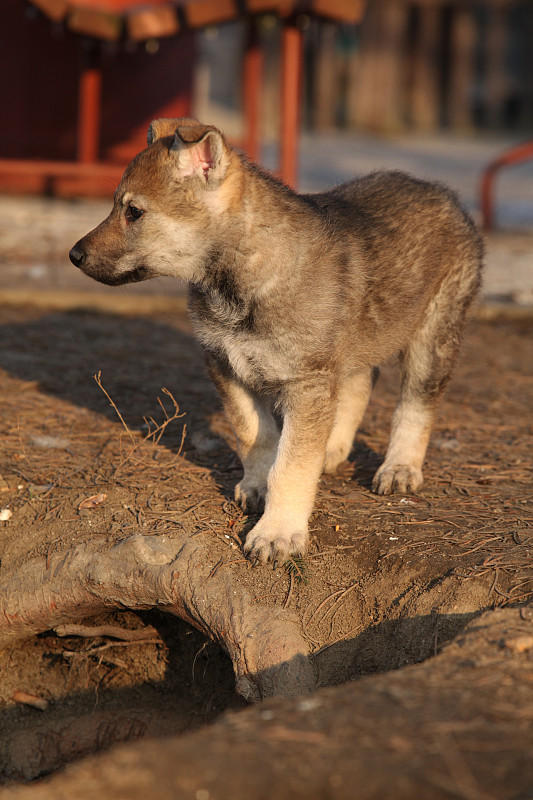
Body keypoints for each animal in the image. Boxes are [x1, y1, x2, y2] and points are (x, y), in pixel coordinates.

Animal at [69, 120, 482, 568]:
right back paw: (333, 448)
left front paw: (278, 532)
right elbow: (256, 435)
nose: (74, 255)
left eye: (134, 212)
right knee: (360, 384)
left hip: (433, 335)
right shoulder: (226, 365)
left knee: (415, 405)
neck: (239, 279)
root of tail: (444, 193)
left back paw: (400, 467)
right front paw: (257, 486)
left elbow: (292, 464)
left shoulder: (306, 381)